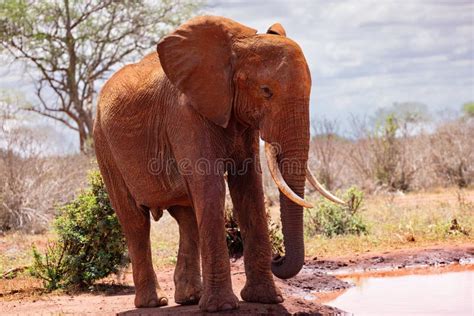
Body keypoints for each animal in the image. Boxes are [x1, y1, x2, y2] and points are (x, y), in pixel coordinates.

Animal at [93, 15, 344, 314]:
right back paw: (153, 303)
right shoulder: (185, 114)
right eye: (266, 91)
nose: (278, 258)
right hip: (104, 146)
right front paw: (222, 307)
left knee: (187, 217)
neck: (235, 50)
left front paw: (266, 299)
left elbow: (249, 187)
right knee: (135, 221)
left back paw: (190, 298)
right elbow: (211, 187)